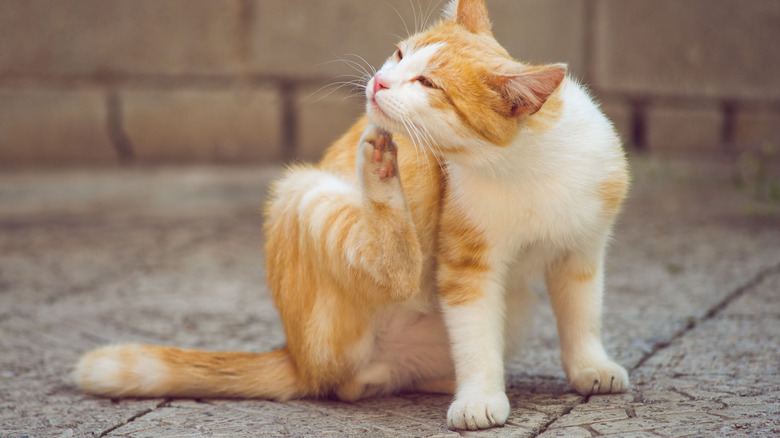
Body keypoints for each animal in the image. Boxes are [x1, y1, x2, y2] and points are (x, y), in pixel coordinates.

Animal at [76, 0, 632, 432]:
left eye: (429, 83)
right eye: (401, 54)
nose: (380, 83)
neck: (526, 161)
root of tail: (296, 355)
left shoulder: (583, 250)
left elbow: (582, 313)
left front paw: (590, 367)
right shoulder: (466, 267)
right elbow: (474, 333)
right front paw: (479, 398)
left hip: (499, 315)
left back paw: (424, 379)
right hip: (303, 195)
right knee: (392, 281)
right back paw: (381, 172)